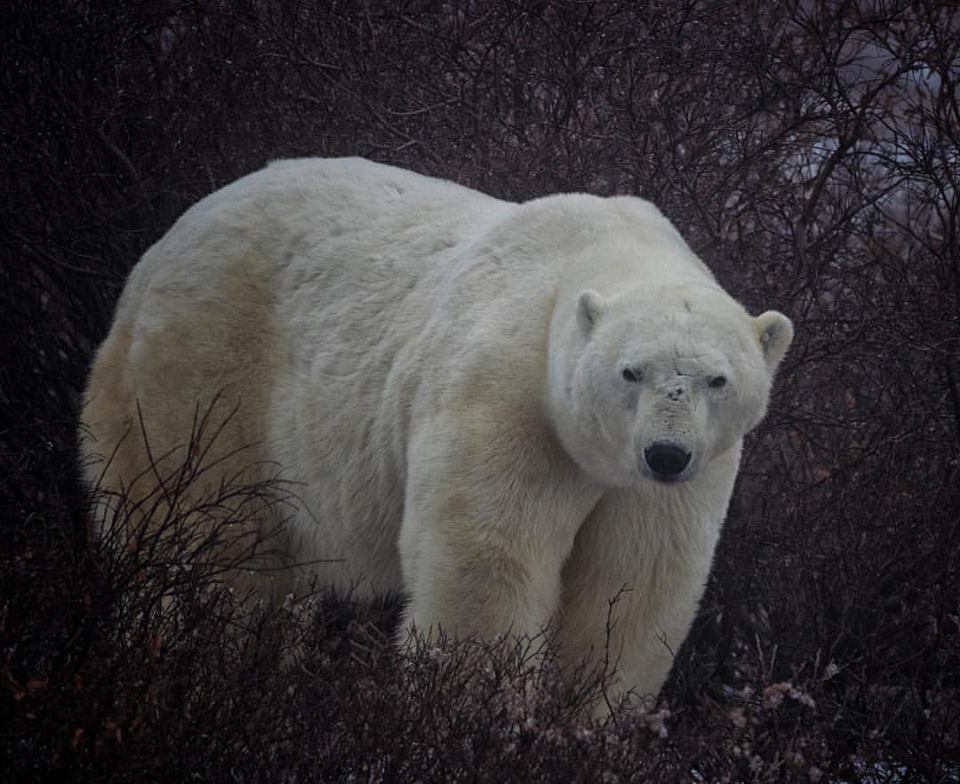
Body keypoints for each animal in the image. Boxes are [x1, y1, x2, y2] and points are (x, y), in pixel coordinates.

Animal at [79, 157, 793, 711]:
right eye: (631, 370)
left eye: (717, 380)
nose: (666, 453)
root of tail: (160, 251)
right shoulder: (510, 396)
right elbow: (487, 558)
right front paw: (479, 711)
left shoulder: (681, 478)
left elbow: (634, 583)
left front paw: (581, 723)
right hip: (206, 367)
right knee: (213, 536)